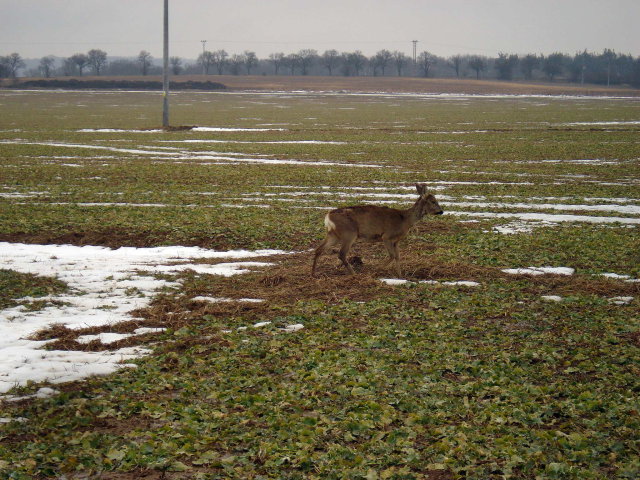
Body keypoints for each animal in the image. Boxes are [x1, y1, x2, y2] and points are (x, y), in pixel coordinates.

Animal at [312, 185, 442, 278]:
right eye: (433, 201)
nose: (441, 211)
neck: (405, 219)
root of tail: (328, 217)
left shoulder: (396, 241)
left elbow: (398, 256)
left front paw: (400, 275)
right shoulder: (387, 236)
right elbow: (392, 255)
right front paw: (377, 270)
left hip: (334, 235)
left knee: (319, 249)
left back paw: (313, 273)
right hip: (349, 233)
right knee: (341, 254)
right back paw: (354, 274)